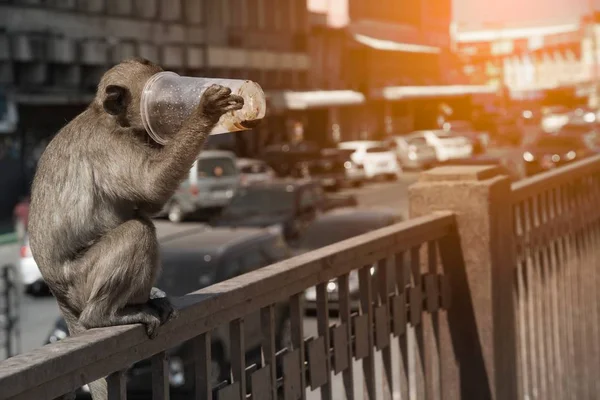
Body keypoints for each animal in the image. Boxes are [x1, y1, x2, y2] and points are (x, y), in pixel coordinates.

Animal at [27, 57, 247, 400]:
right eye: (160, 101)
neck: (108, 117)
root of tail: (58, 294)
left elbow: (147, 201)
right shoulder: (109, 145)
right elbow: (150, 186)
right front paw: (206, 110)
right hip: (80, 282)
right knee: (138, 231)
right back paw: (104, 315)